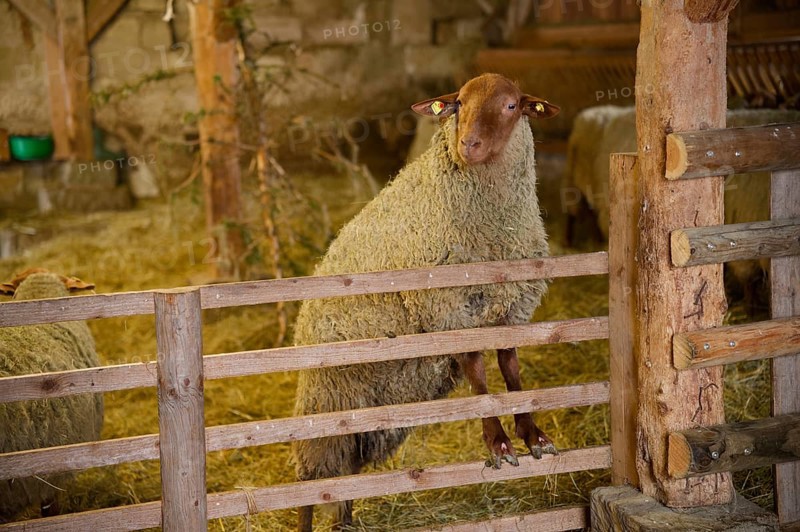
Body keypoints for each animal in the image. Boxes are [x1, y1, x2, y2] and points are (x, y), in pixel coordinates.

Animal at [291, 73, 559, 531]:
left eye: (511, 106)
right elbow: (478, 371)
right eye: (459, 104)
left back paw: (345, 521)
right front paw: (498, 443)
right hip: (329, 394)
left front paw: (531, 434)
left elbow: (511, 368)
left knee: (345, 471)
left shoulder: (512, 305)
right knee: (313, 476)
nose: (468, 144)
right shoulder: (447, 307)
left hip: (374, 409)